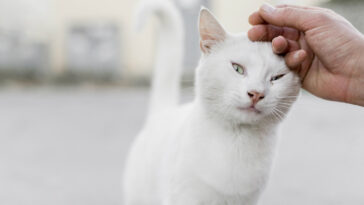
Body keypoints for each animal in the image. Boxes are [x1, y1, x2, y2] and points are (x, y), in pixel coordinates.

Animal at [123, 0, 300, 204]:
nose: (256, 93)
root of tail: (163, 113)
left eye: (277, 78)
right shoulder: (185, 196)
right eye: (237, 68)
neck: (237, 142)